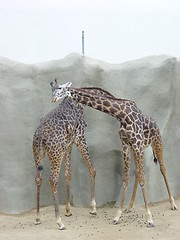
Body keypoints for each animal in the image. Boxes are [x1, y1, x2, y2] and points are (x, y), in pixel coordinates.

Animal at [50, 80, 177, 227]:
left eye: (60, 88)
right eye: (52, 89)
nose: (53, 99)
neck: (121, 114)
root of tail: (155, 123)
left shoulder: (137, 143)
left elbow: (143, 180)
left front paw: (149, 219)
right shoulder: (126, 144)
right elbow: (126, 178)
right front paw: (118, 215)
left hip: (156, 142)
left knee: (163, 168)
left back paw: (173, 204)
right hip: (136, 149)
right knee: (138, 173)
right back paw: (130, 206)